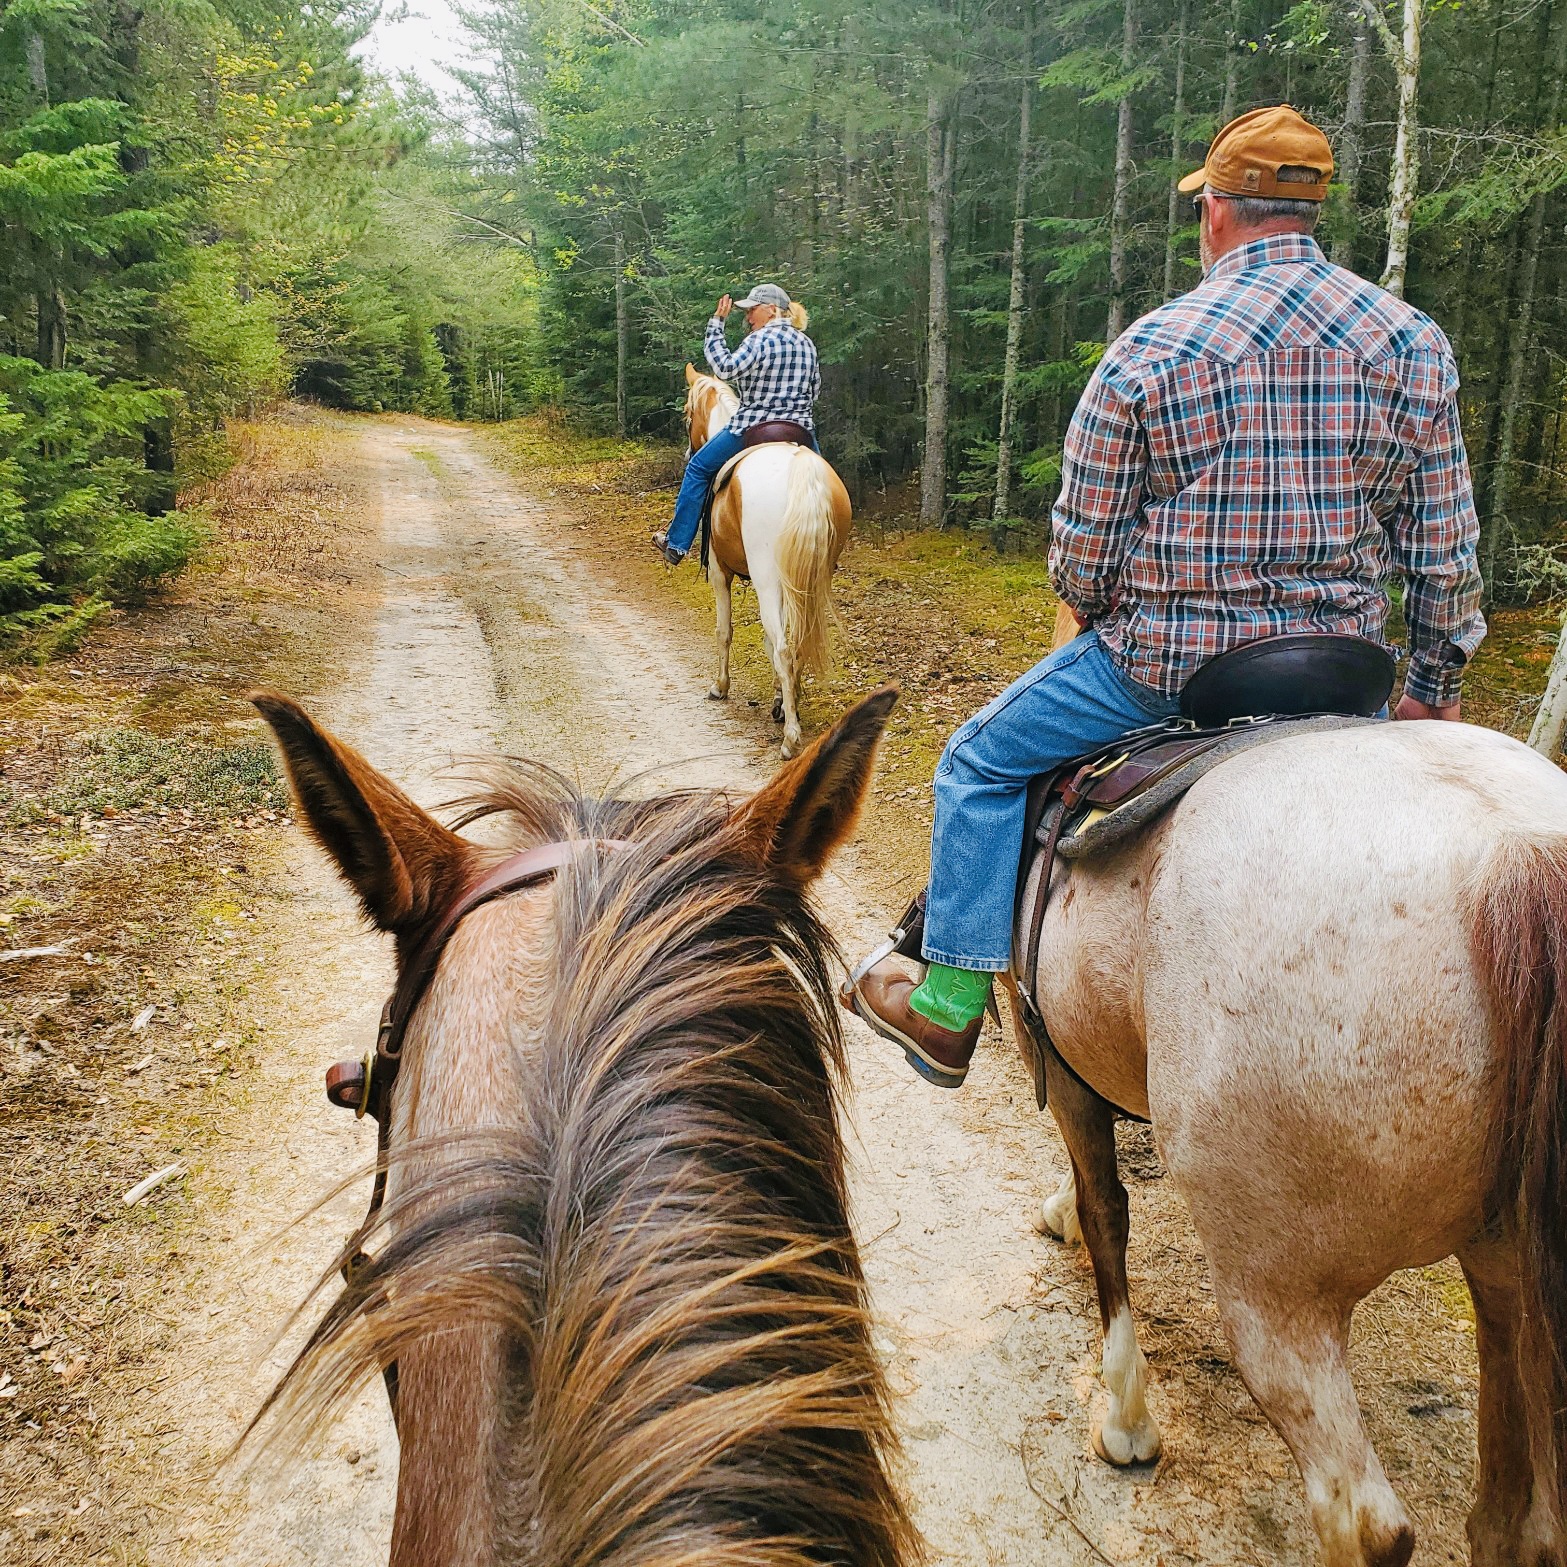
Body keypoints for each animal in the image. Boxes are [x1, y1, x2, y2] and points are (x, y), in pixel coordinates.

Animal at [682, 363, 852, 760]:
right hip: (809, 580)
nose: (688, 453)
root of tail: (800, 469)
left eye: (686, 416)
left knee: (785, 647)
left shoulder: (719, 573)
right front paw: (780, 698)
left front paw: (720, 686)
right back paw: (789, 710)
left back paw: (790, 738)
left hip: (768, 580)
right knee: (796, 641)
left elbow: (725, 631)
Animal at [1010, 716, 1567, 1566]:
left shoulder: (1056, 1061)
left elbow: (1107, 1211)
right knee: (1515, 1526)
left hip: (1277, 1296)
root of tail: (1515, 851)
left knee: (1364, 1522)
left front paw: (1127, 1422)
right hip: (1509, 1276)